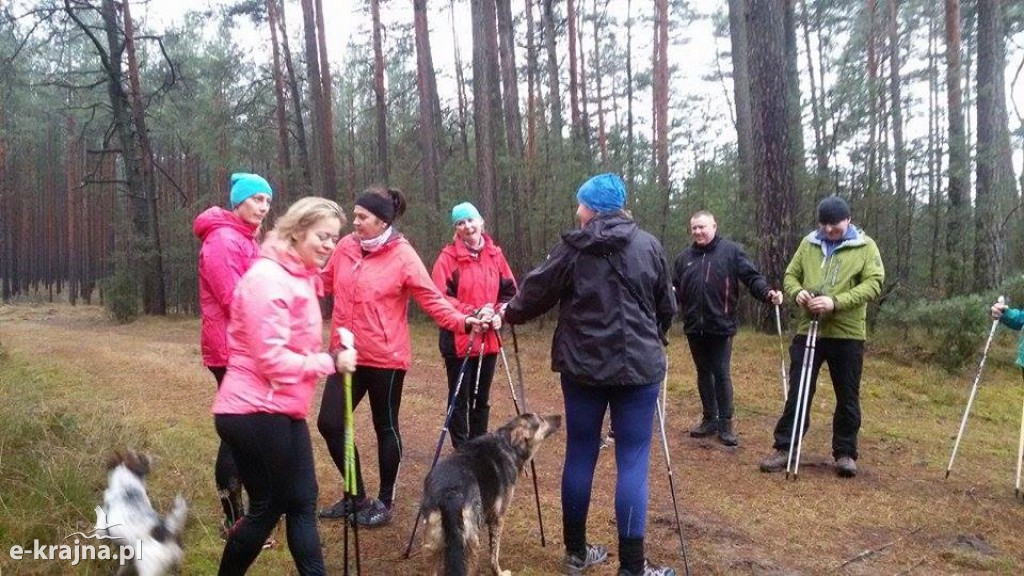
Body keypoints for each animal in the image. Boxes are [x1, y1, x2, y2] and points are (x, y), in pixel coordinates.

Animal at [417, 412, 561, 573]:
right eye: (541, 419)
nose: (560, 417)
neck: (508, 443)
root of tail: (449, 494)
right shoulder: (498, 518)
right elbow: (494, 555)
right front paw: (500, 572)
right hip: (471, 543)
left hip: (432, 546)